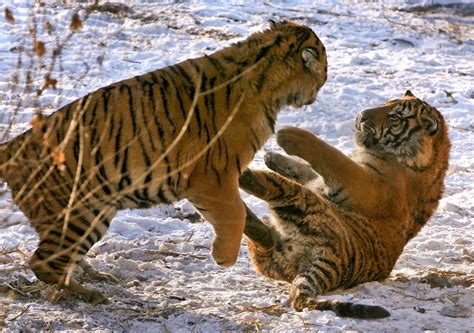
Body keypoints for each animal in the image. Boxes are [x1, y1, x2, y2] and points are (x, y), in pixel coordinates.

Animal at [0, 19, 326, 302]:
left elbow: (246, 213)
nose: (323, 79)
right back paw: (90, 293)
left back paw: (97, 277)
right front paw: (224, 257)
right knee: (42, 263)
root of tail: (13, 145)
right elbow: (235, 213)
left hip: (95, 211)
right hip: (79, 211)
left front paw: (263, 238)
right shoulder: (213, 177)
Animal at [243, 90, 450, 316]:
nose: (361, 115)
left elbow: (334, 158)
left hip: (303, 206)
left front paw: (290, 135)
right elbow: (309, 171)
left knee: (271, 192)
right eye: (386, 103)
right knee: (264, 235)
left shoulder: (366, 184)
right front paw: (274, 158)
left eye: (395, 116)